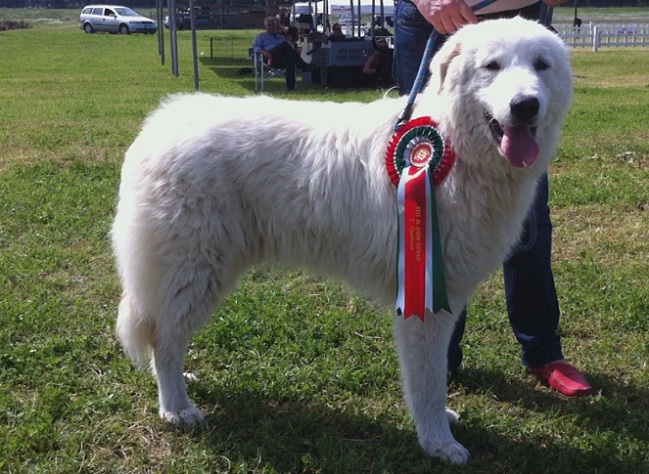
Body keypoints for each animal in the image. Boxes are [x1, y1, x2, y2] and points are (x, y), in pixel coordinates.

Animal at [111, 17, 572, 464]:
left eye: (541, 66)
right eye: (492, 66)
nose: (525, 105)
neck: (454, 147)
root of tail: (160, 125)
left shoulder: (443, 293)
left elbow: (434, 373)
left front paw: (440, 425)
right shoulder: (423, 300)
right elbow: (427, 381)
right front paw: (438, 443)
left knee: (164, 336)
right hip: (194, 268)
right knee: (165, 339)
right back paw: (176, 407)